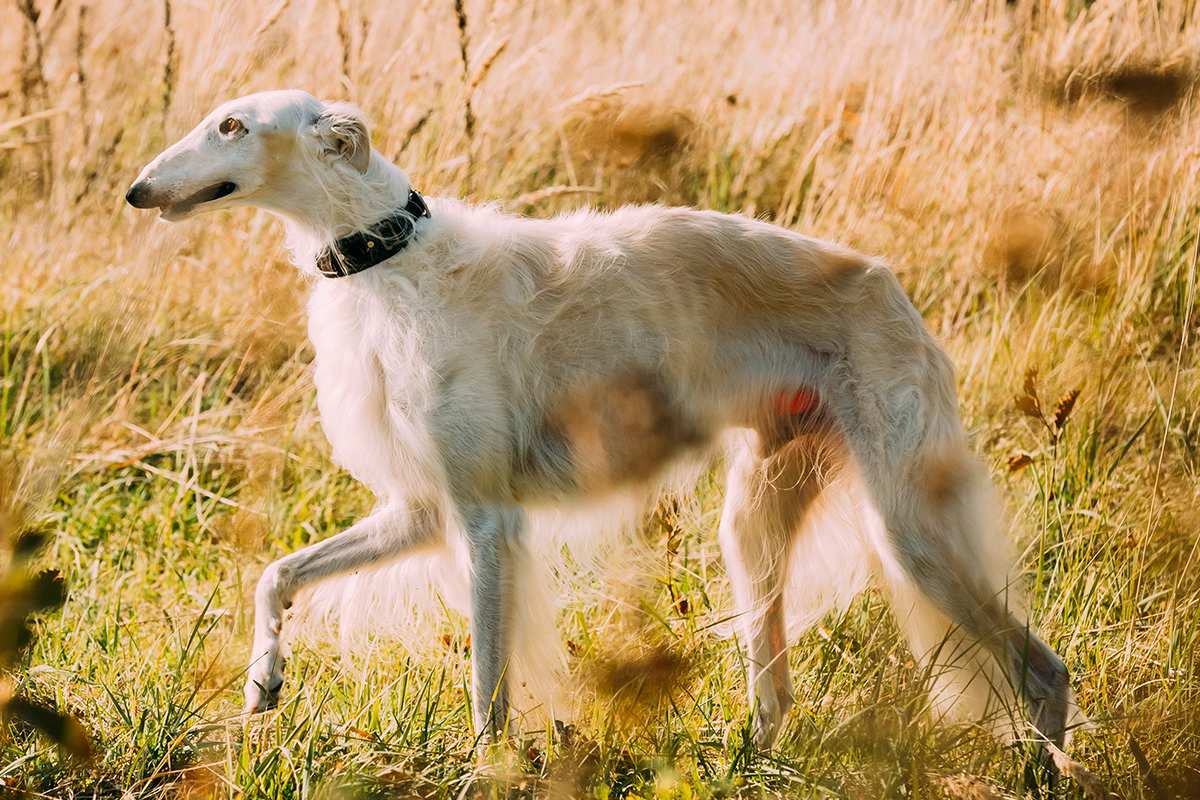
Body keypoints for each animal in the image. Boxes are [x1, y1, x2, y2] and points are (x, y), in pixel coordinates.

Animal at [126, 92, 1075, 758]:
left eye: (232, 125)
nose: (136, 191)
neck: (389, 258)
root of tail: (888, 284)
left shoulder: (485, 521)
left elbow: (488, 686)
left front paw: (487, 769)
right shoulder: (424, 509)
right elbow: (276, 575)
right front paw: (263, 680)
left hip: (909, 527)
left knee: (1043, 671)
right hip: (756, 524)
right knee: (776, 693)